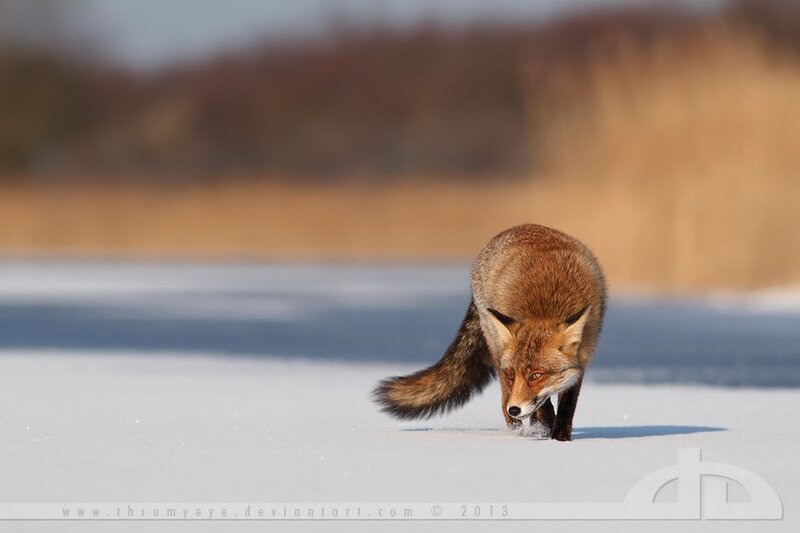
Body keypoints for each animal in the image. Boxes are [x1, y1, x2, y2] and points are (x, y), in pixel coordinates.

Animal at [373, 224, 606, 441]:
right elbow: (543, 407)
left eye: (536, 375)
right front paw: (545, 431)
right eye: (512, 374)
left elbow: (566, 411)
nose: (515, 409)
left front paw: (560, 440)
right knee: (504, 405)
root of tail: (515, 228)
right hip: (496, 351)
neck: (545, 309)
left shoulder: (581, 362)